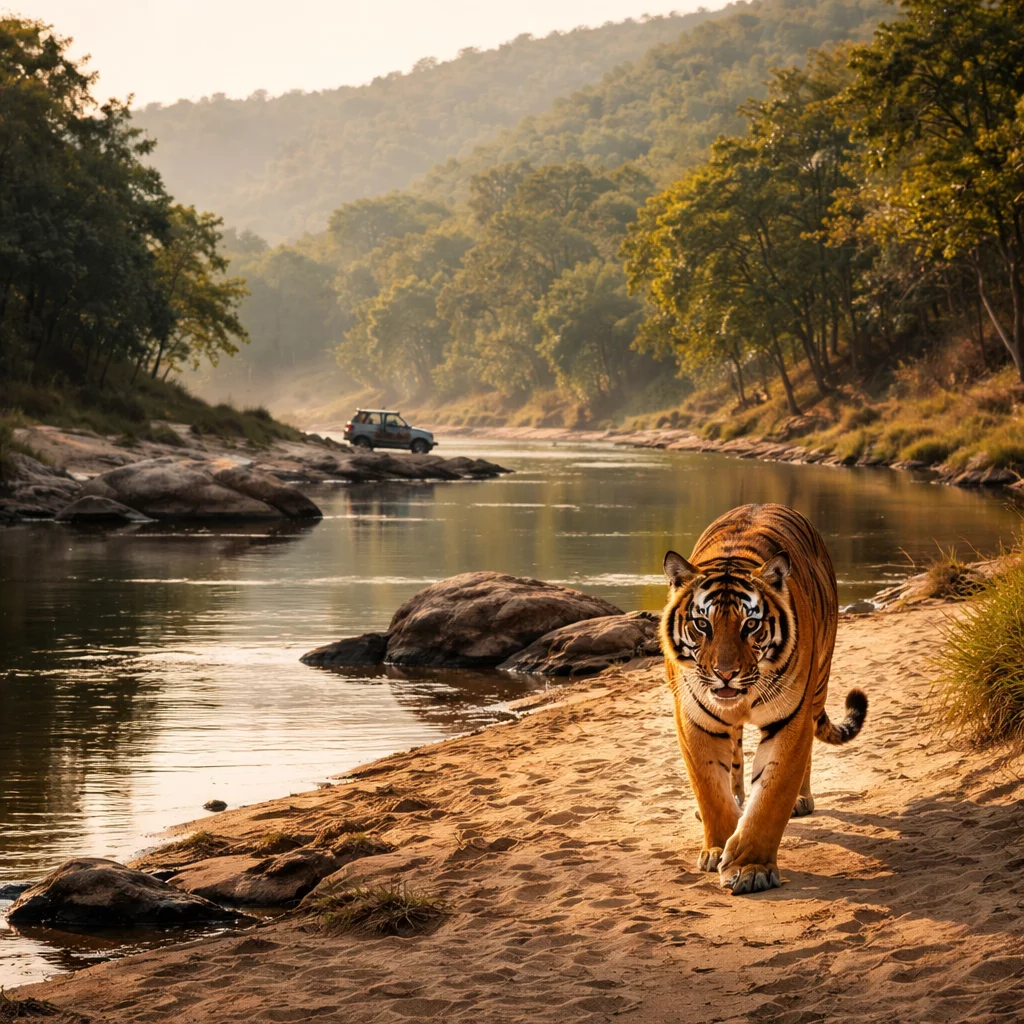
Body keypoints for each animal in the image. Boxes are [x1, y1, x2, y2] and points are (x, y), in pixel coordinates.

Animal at [659, 502, 867, 894]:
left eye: (750, 625)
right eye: (703, 625)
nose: (725, 673)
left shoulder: (791, 719)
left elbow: (772, 795)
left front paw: (750, 867)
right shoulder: (694, 718)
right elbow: (710, 789)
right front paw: (717, 847)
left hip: (819, 682)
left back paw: (800, 800)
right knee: (735, 757)